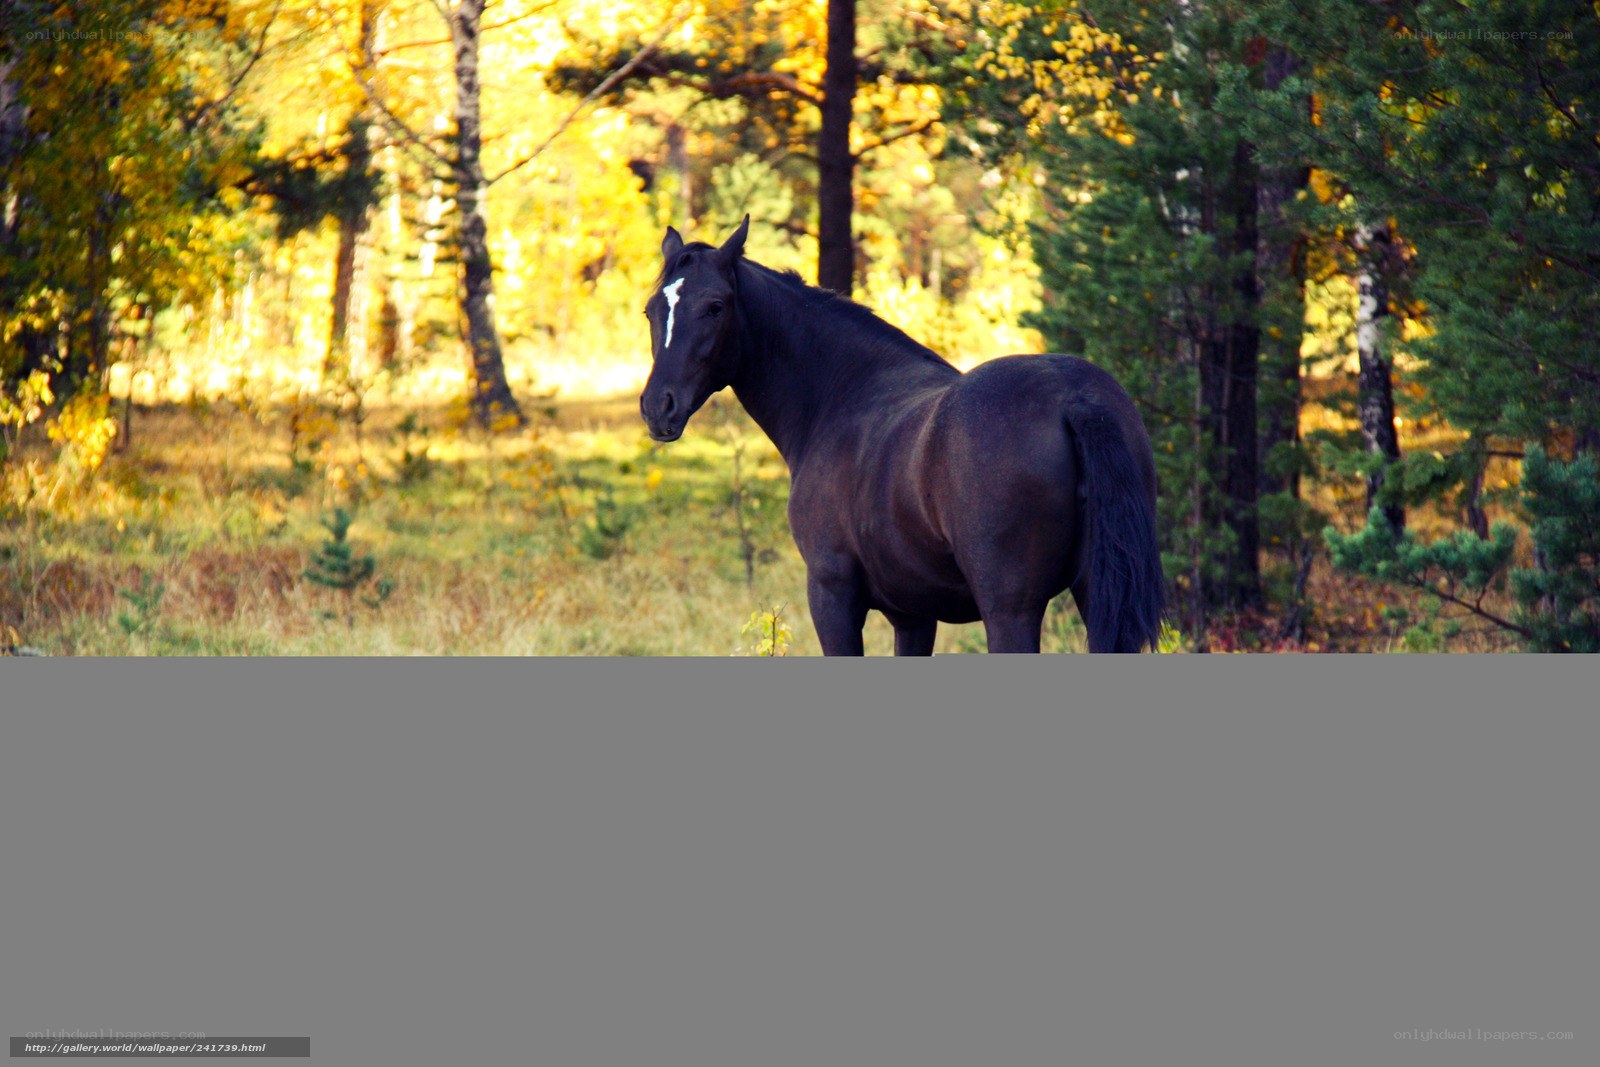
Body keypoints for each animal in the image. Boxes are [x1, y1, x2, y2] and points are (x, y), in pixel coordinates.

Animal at [639, 216, 1165, 654]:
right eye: (650, 311)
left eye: (715, 307)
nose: (657, 406)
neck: (841, 395)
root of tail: (1076, 398)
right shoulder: (912, 615)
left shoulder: (832, 597)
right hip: (1095, 593)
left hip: (1010, 610)